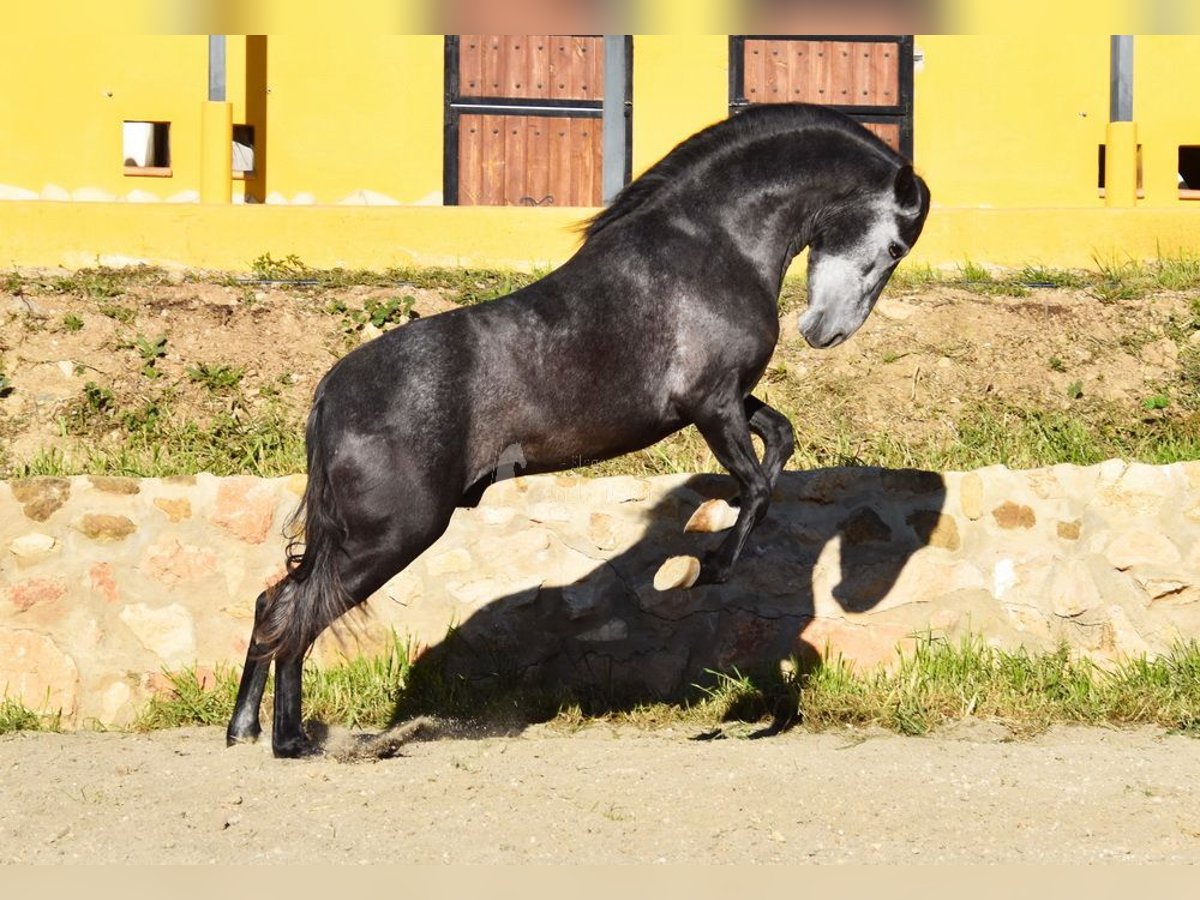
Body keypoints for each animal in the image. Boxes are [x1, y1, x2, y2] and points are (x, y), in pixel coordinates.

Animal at [226, 102, 936, 758]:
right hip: (391, 535)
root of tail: (330, 394)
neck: (713, 245)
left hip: (357, 536)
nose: (826, 333)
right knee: (296, 614)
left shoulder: (727, 399)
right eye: (896, 248)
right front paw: (705, 568)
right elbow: (759, 485)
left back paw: (245, 730)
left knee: (273, 603)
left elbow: (780, 441)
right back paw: (289, 741)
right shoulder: (710, 403)